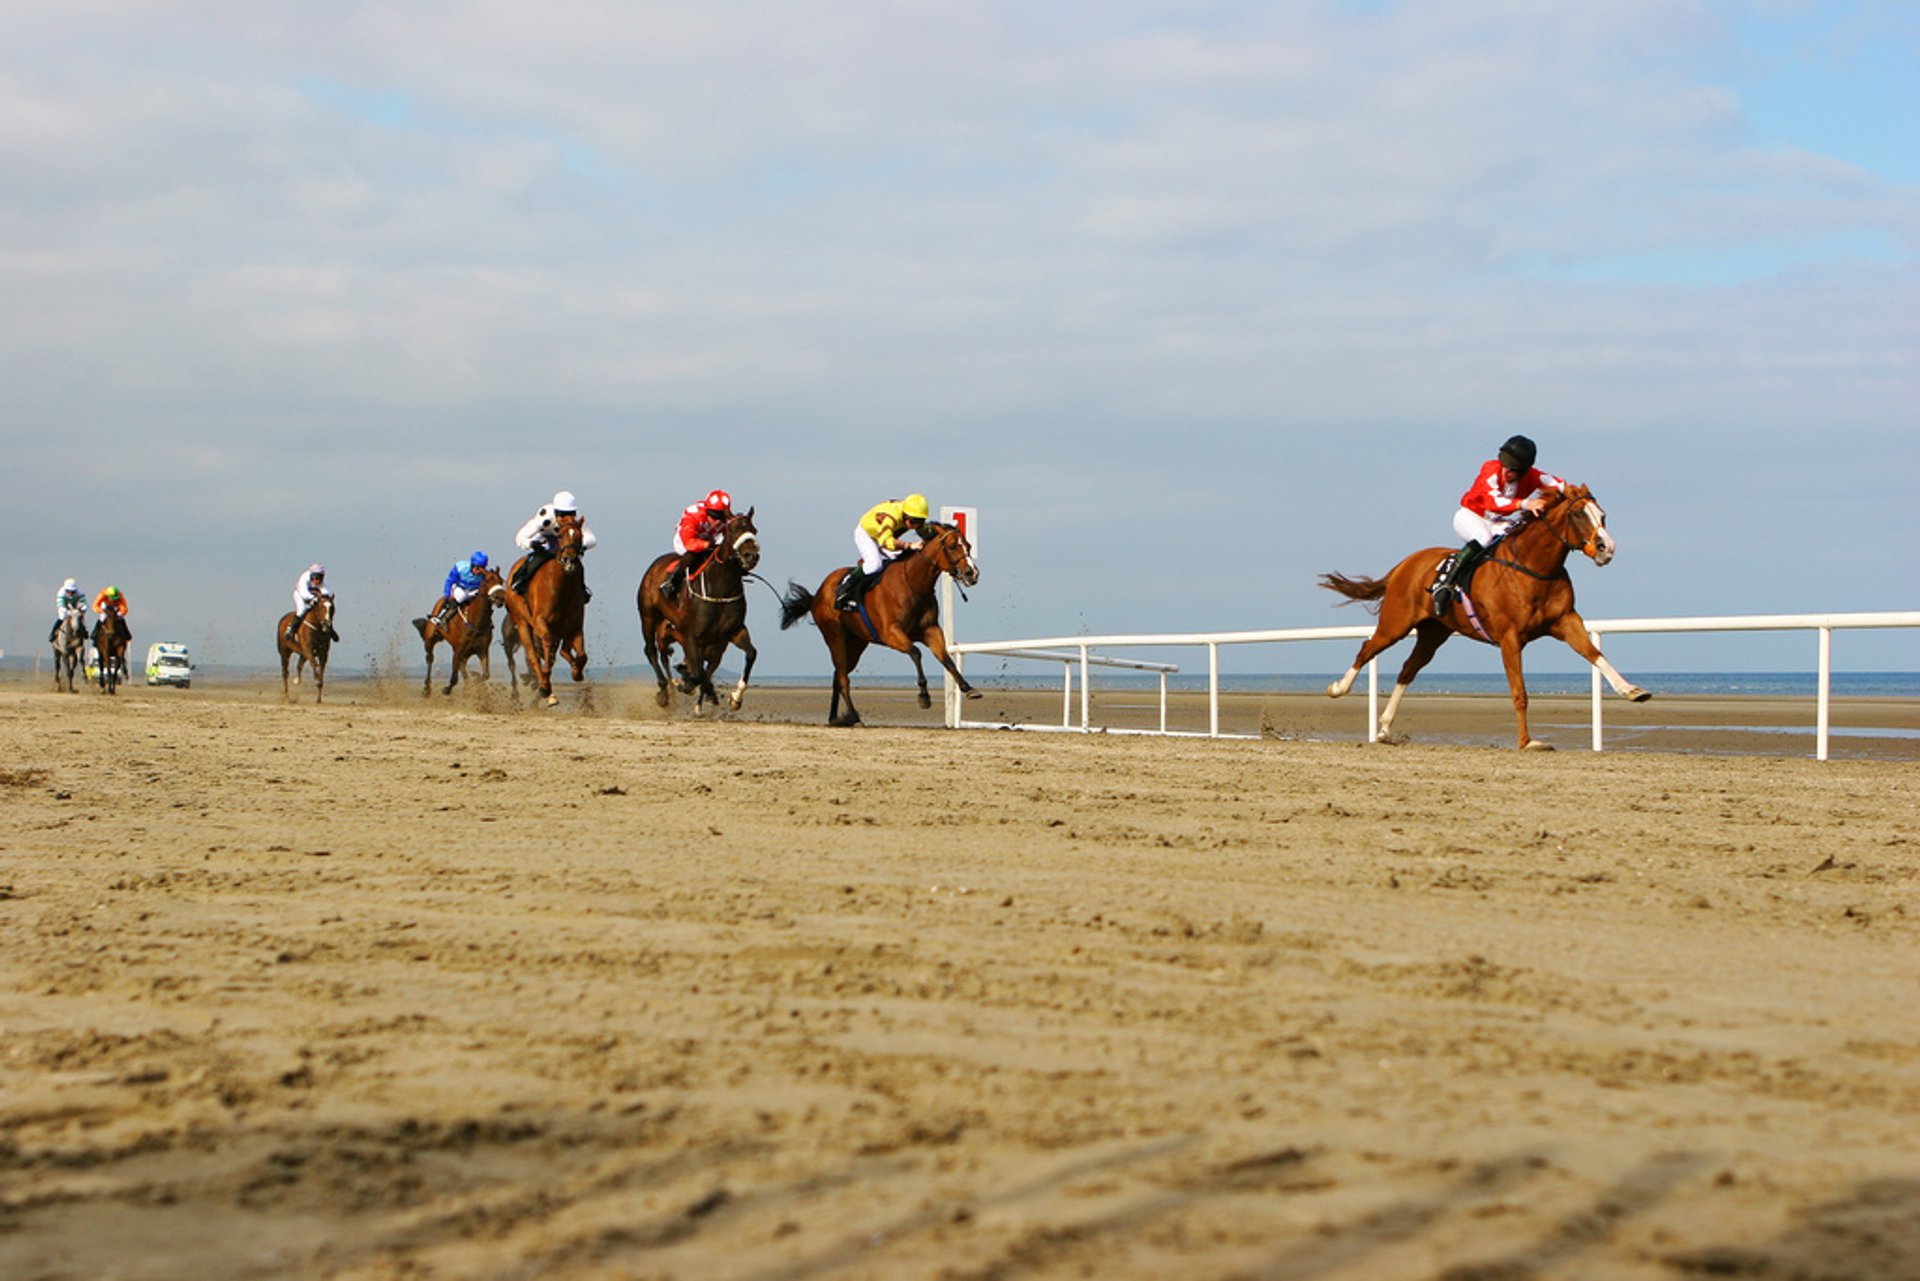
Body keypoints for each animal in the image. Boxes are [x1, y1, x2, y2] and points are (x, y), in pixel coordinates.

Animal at [412, 564, 506, 695]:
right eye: (487, 580)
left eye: (501, 581)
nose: (500, 598)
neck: (475, 621)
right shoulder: (458, 649)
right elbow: (454, 677)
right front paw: (447, 689)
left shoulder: (482, 649)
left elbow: (485, 675)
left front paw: (474, 682)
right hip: (430, 638)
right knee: (430, 658)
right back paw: (427, 688)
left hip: (466, 653)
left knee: (463, 669)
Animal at [503, 514, 583, 706]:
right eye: (559, 535)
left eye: (579, 536)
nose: (569, 560)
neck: (562, 590)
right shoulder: (541, 622)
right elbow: (544, 651)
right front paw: (545, 686)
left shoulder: (574, 627)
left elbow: (581, 656)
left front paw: (576, 671)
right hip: (522, 624)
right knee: (532, 655)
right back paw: (545, 689)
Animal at [645, 507, 764, 710]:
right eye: (732, 530)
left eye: (754, 530)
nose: (751, 556)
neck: (721, 589)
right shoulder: (692, 636)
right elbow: (697, 673)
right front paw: (691, 686)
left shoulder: (732, 632)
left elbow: (751, 653)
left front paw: (735, 697)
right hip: (648, 617)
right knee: (652, 652)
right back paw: (664, 692)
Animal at [779, 518, 983, 722]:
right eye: (952, 546)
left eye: (969, 546)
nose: (972, 573)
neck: (912, 583)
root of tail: (817, 595)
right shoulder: (890, 633)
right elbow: (915, 652)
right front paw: (924, 696)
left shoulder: (930, 630)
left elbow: (945, 658)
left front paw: (968, 688)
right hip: (834, 636)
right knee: (843, 676)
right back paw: (853, 716)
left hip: (857, 642)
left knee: (838, 673)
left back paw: (835, 718)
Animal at [1320, 485, 1651, 752]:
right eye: (1580, 514)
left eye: (1603, 515)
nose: (1607, 548)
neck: (1533, 566)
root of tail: (1405, 564)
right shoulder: (1510, 638)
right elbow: (1520, 691)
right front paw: (1527, 742)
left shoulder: (1566, 622)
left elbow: (1594, 653)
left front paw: (1632, 690)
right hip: (1396, 623)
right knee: (1367, 649)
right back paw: (1338, 689)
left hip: (1433, 633)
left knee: (1407, 670)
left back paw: (1386, 729)